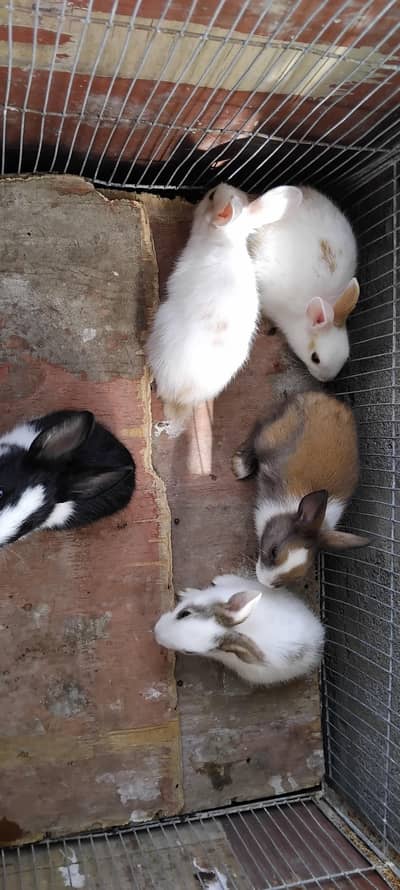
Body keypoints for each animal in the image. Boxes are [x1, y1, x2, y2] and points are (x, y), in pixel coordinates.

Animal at [232, 391, 369, 588]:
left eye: (297, 577)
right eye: (274, 551)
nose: (264, 582)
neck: (290, 510)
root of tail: (325, 398)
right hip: (271, 435)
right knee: (258, 429)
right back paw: (240, 466)